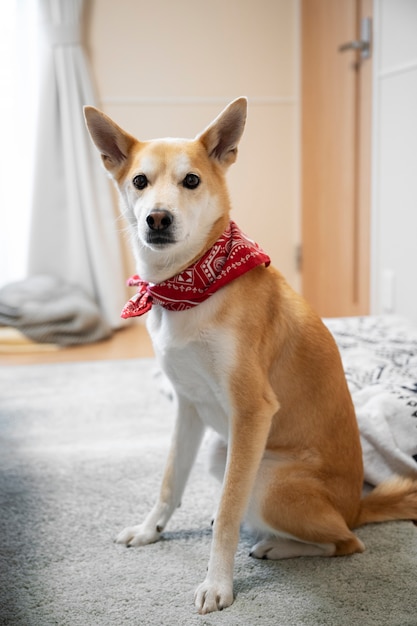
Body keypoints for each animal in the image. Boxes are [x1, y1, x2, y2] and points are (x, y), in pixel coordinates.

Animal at [84, 100, 416, 612]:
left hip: (267, 480)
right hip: (220, 452)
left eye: (191, 181)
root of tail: (358, 504)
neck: (187, 288)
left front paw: (218, 584)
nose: (157, 219)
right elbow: (169, 481)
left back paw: (277, 545)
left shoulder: (252, 411)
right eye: (140, 181)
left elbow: (226, 511)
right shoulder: (187, 407)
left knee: (345, 542)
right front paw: (149, 530)